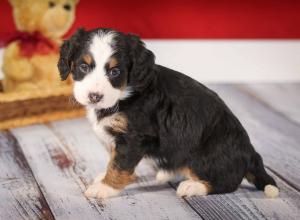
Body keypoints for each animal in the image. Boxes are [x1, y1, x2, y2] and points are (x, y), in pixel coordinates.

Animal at [58, 27, 278, 199]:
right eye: (83, 66)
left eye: (115, 72)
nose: (94, 96)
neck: (125, 94)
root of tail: (250, 151)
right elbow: (114, 159)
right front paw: (103, 178)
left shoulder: (134, 137)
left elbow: (119, 164)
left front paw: (105, 188)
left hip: (205, 156)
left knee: (226, 183)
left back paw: (192, 186)